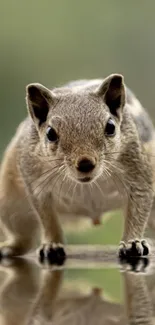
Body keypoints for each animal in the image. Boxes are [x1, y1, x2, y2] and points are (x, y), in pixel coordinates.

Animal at [0, 72, 154, 260]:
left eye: (111, 127)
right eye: (50, 133)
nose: (85, 163)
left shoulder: (138, 174)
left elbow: (137, 210)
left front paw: (133, 242)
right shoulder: (36, 184)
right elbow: (47, 218)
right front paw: (52, 244)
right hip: (11, 206)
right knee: (24, 238)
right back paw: (10, 248)